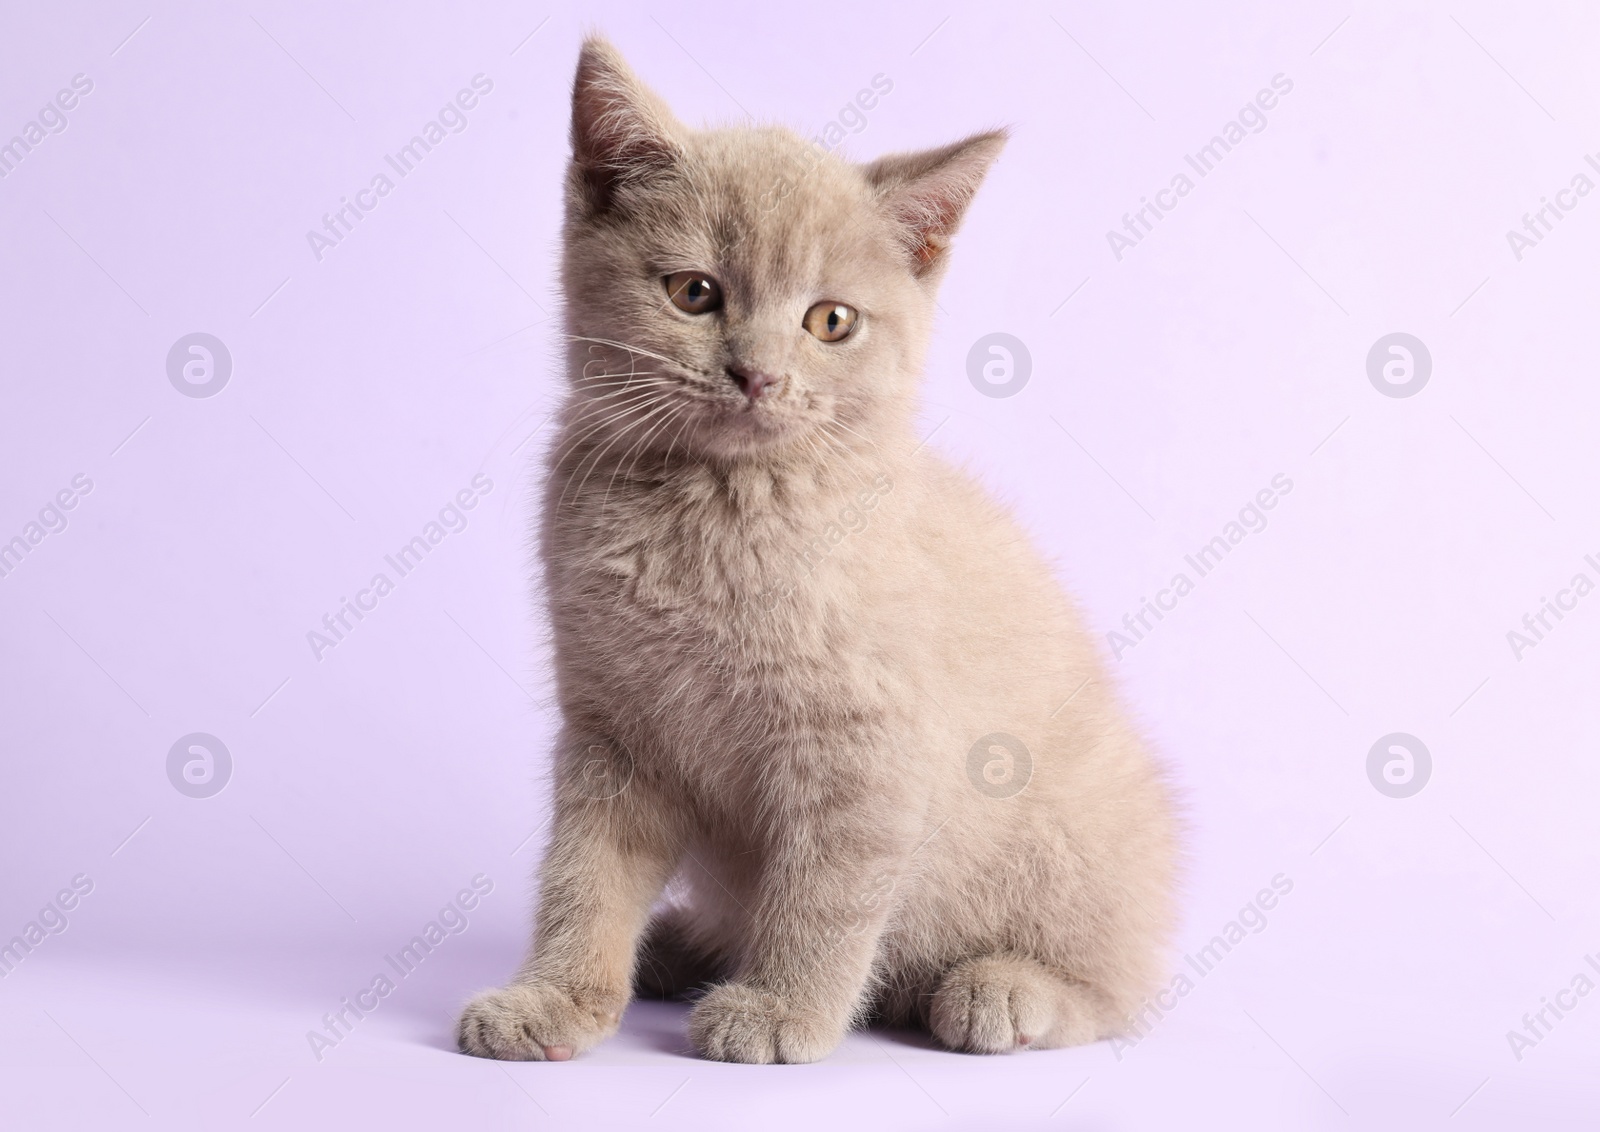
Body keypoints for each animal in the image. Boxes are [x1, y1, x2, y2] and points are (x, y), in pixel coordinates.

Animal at [457, 35, 1184, 1061]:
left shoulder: (862, 747)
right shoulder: (613, 729)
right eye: (694, 293)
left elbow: (824, 894)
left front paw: (782, 1010)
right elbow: (581, 878)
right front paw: (553, 999)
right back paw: (683, 945)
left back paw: (1002, 990)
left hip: (1072, 848)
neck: (718, 508)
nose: (757, 374)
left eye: (830, 320)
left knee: (1117, 983)